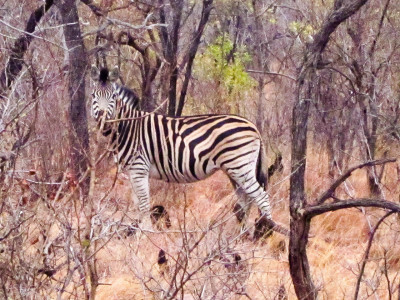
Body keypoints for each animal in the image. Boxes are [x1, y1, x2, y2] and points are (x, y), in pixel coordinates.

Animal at [89, 65, 274, 232]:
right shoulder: (131, 171)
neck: (128, 127)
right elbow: (137, 204)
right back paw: (240, 235)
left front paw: (146, 232)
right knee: (246, 200)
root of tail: (252, 125)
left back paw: (265, 232)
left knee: (261, 196)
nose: (103, 119)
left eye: (113, 96)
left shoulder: (139, 168)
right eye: (93, 95)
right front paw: (138, 230)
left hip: (240, 166)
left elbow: (143, 204)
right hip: (234, 170)